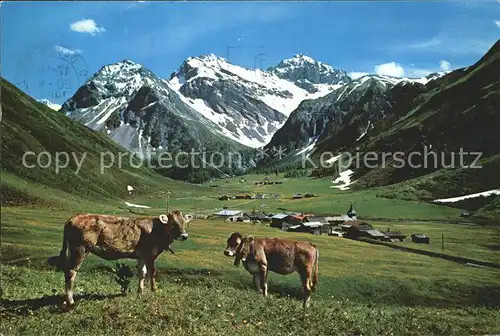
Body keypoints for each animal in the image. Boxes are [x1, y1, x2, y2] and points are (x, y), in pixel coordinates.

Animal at [56, 211, 189, 306]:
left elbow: (142, 273)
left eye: (184, 223)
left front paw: (140, 292)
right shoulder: (150, 255)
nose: (185, 236)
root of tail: (73, 218)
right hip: (80, 249)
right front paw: (154, 290)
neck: (156, 229)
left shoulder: (141, 256)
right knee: (71, 271)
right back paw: (71, 301)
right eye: (173, 223)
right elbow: (152, 272)